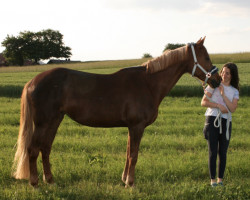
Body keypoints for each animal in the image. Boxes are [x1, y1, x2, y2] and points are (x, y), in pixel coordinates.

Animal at [12, 37, 221, 186]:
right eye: (206, 57)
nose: (217, 80)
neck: (148, 83)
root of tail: (32, 81)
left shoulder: (131, 127)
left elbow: (128, 152)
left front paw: (124, 179)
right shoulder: (137, 126)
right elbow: (133, 154)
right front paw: (131, 183)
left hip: (55, 120)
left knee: (45, 149)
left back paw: (50, 180)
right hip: (43, 122)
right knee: (32, 149)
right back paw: (35, 183)